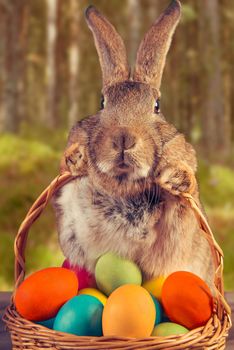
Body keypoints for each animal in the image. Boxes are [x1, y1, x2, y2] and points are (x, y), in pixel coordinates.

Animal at [54, 1, 215, 292]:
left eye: (157, 105)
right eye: (102, 102)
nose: (123, 138)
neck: (123, 182)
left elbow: (185, 177)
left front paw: (173, 178)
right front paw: (76, 157)